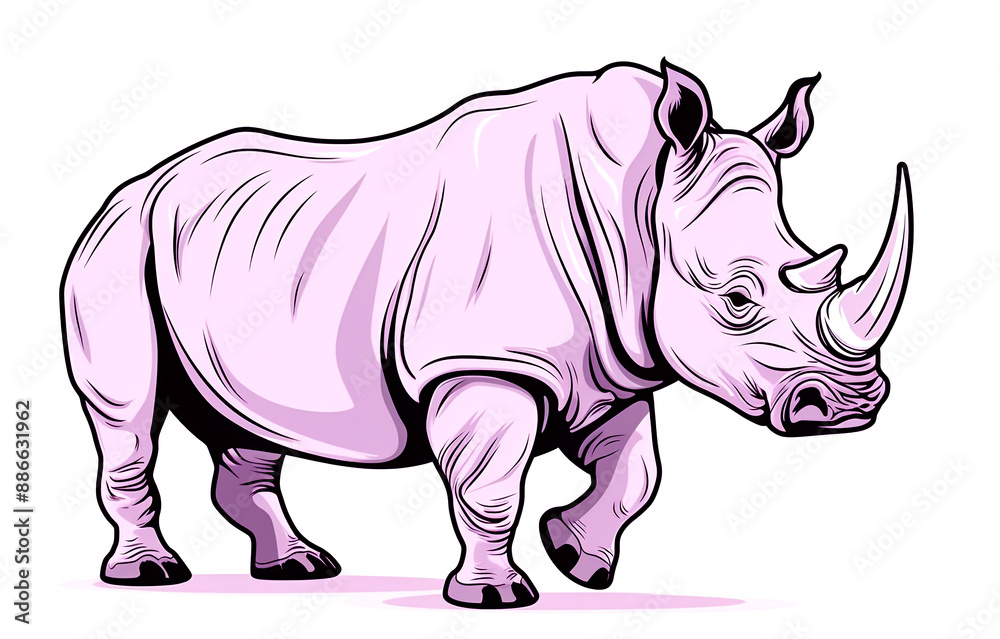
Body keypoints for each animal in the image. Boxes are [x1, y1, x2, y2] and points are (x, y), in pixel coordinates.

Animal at [60, 59, 912, 608]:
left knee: (244, 425)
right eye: (737, 297)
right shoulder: (483, 362)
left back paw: (299, 569)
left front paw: (576, 557)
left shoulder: (608, 365)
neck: (636, 205)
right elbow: (491, 480)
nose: (851, 407)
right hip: (116, 251)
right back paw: (152, 576)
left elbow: (636, 471)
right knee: (128, 414)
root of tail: (128, 186)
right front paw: (498, 595)